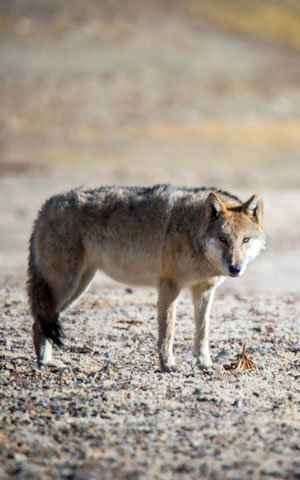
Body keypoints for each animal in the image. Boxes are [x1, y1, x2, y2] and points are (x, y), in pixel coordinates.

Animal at [27, 184, 266, 372]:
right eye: (223, 239)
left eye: (245, 240)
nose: (235, 268)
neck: (192, 229)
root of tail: (47, 205)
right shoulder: (169, 286)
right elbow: (168, 332)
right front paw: (167, 365)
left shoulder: (204, 291)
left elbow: (202, 333)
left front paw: (204, 364)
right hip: (66, 286)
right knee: (38, 322)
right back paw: (45, 363)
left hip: (79, 287)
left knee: (41, 321)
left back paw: (47, 361)